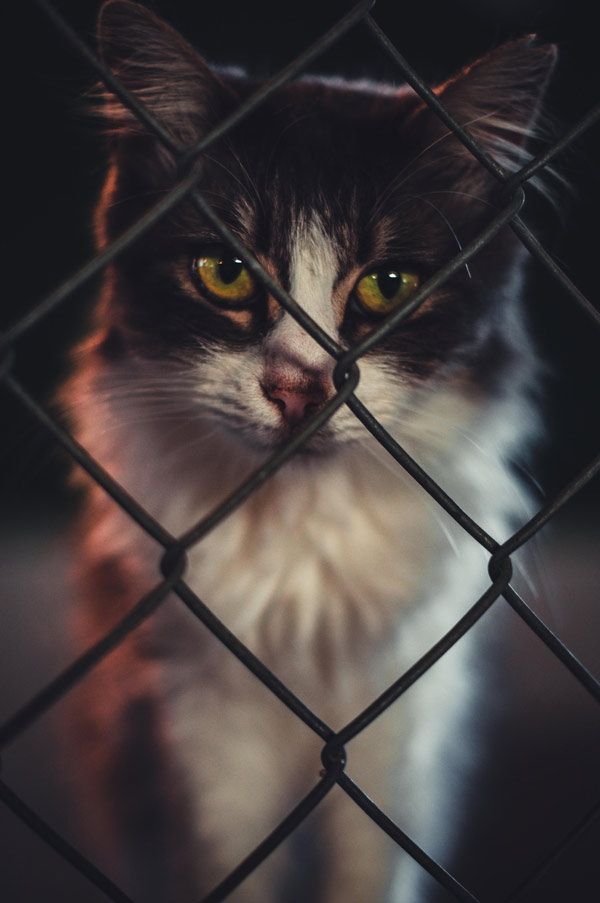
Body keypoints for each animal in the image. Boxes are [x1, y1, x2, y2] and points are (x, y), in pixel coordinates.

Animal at [63, 3, 556, 900]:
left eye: (388, 286)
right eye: (224, 272)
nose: (302, 388)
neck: (302, 529)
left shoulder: (402, 725)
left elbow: (373, 868)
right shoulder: (196, 721)